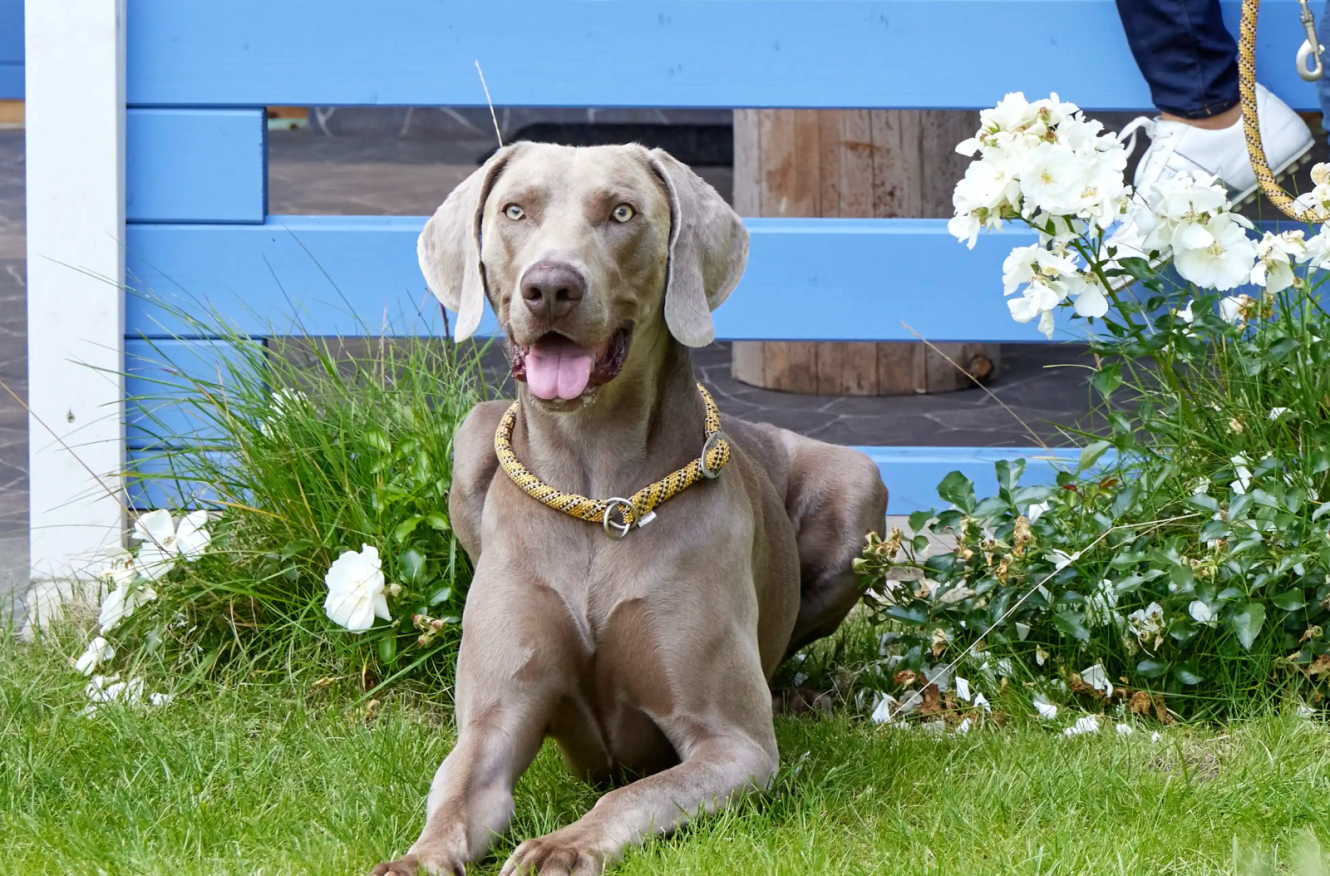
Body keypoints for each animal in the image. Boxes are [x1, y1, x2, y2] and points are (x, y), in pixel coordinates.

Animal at [372, 144, 883, 876]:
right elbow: (457, 795)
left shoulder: (733, 745)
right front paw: (415, 859)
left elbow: (632, 795)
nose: (550, 287)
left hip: (859, 486)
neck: (598, 488)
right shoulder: (495, 721)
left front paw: (562, 845)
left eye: (621, 213)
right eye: (515, 210)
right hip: (473, 433)